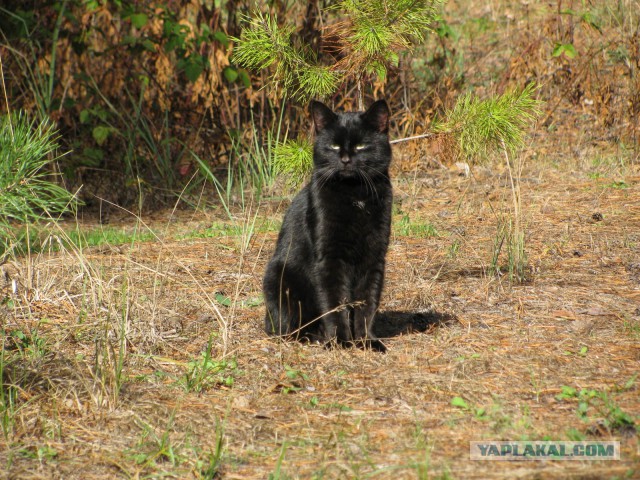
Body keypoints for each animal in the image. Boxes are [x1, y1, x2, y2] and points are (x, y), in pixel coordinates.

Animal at [262, 99, 392, 350]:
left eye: (361, 146)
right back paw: (314, 335)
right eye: (333, 145)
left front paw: (366, 341)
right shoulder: (330, 258)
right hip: (278, 279)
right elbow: (334, 303)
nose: (345, 159)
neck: (355, 195)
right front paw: (341, 341)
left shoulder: (374, 257)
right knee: (286, 327)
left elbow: (367, 303)